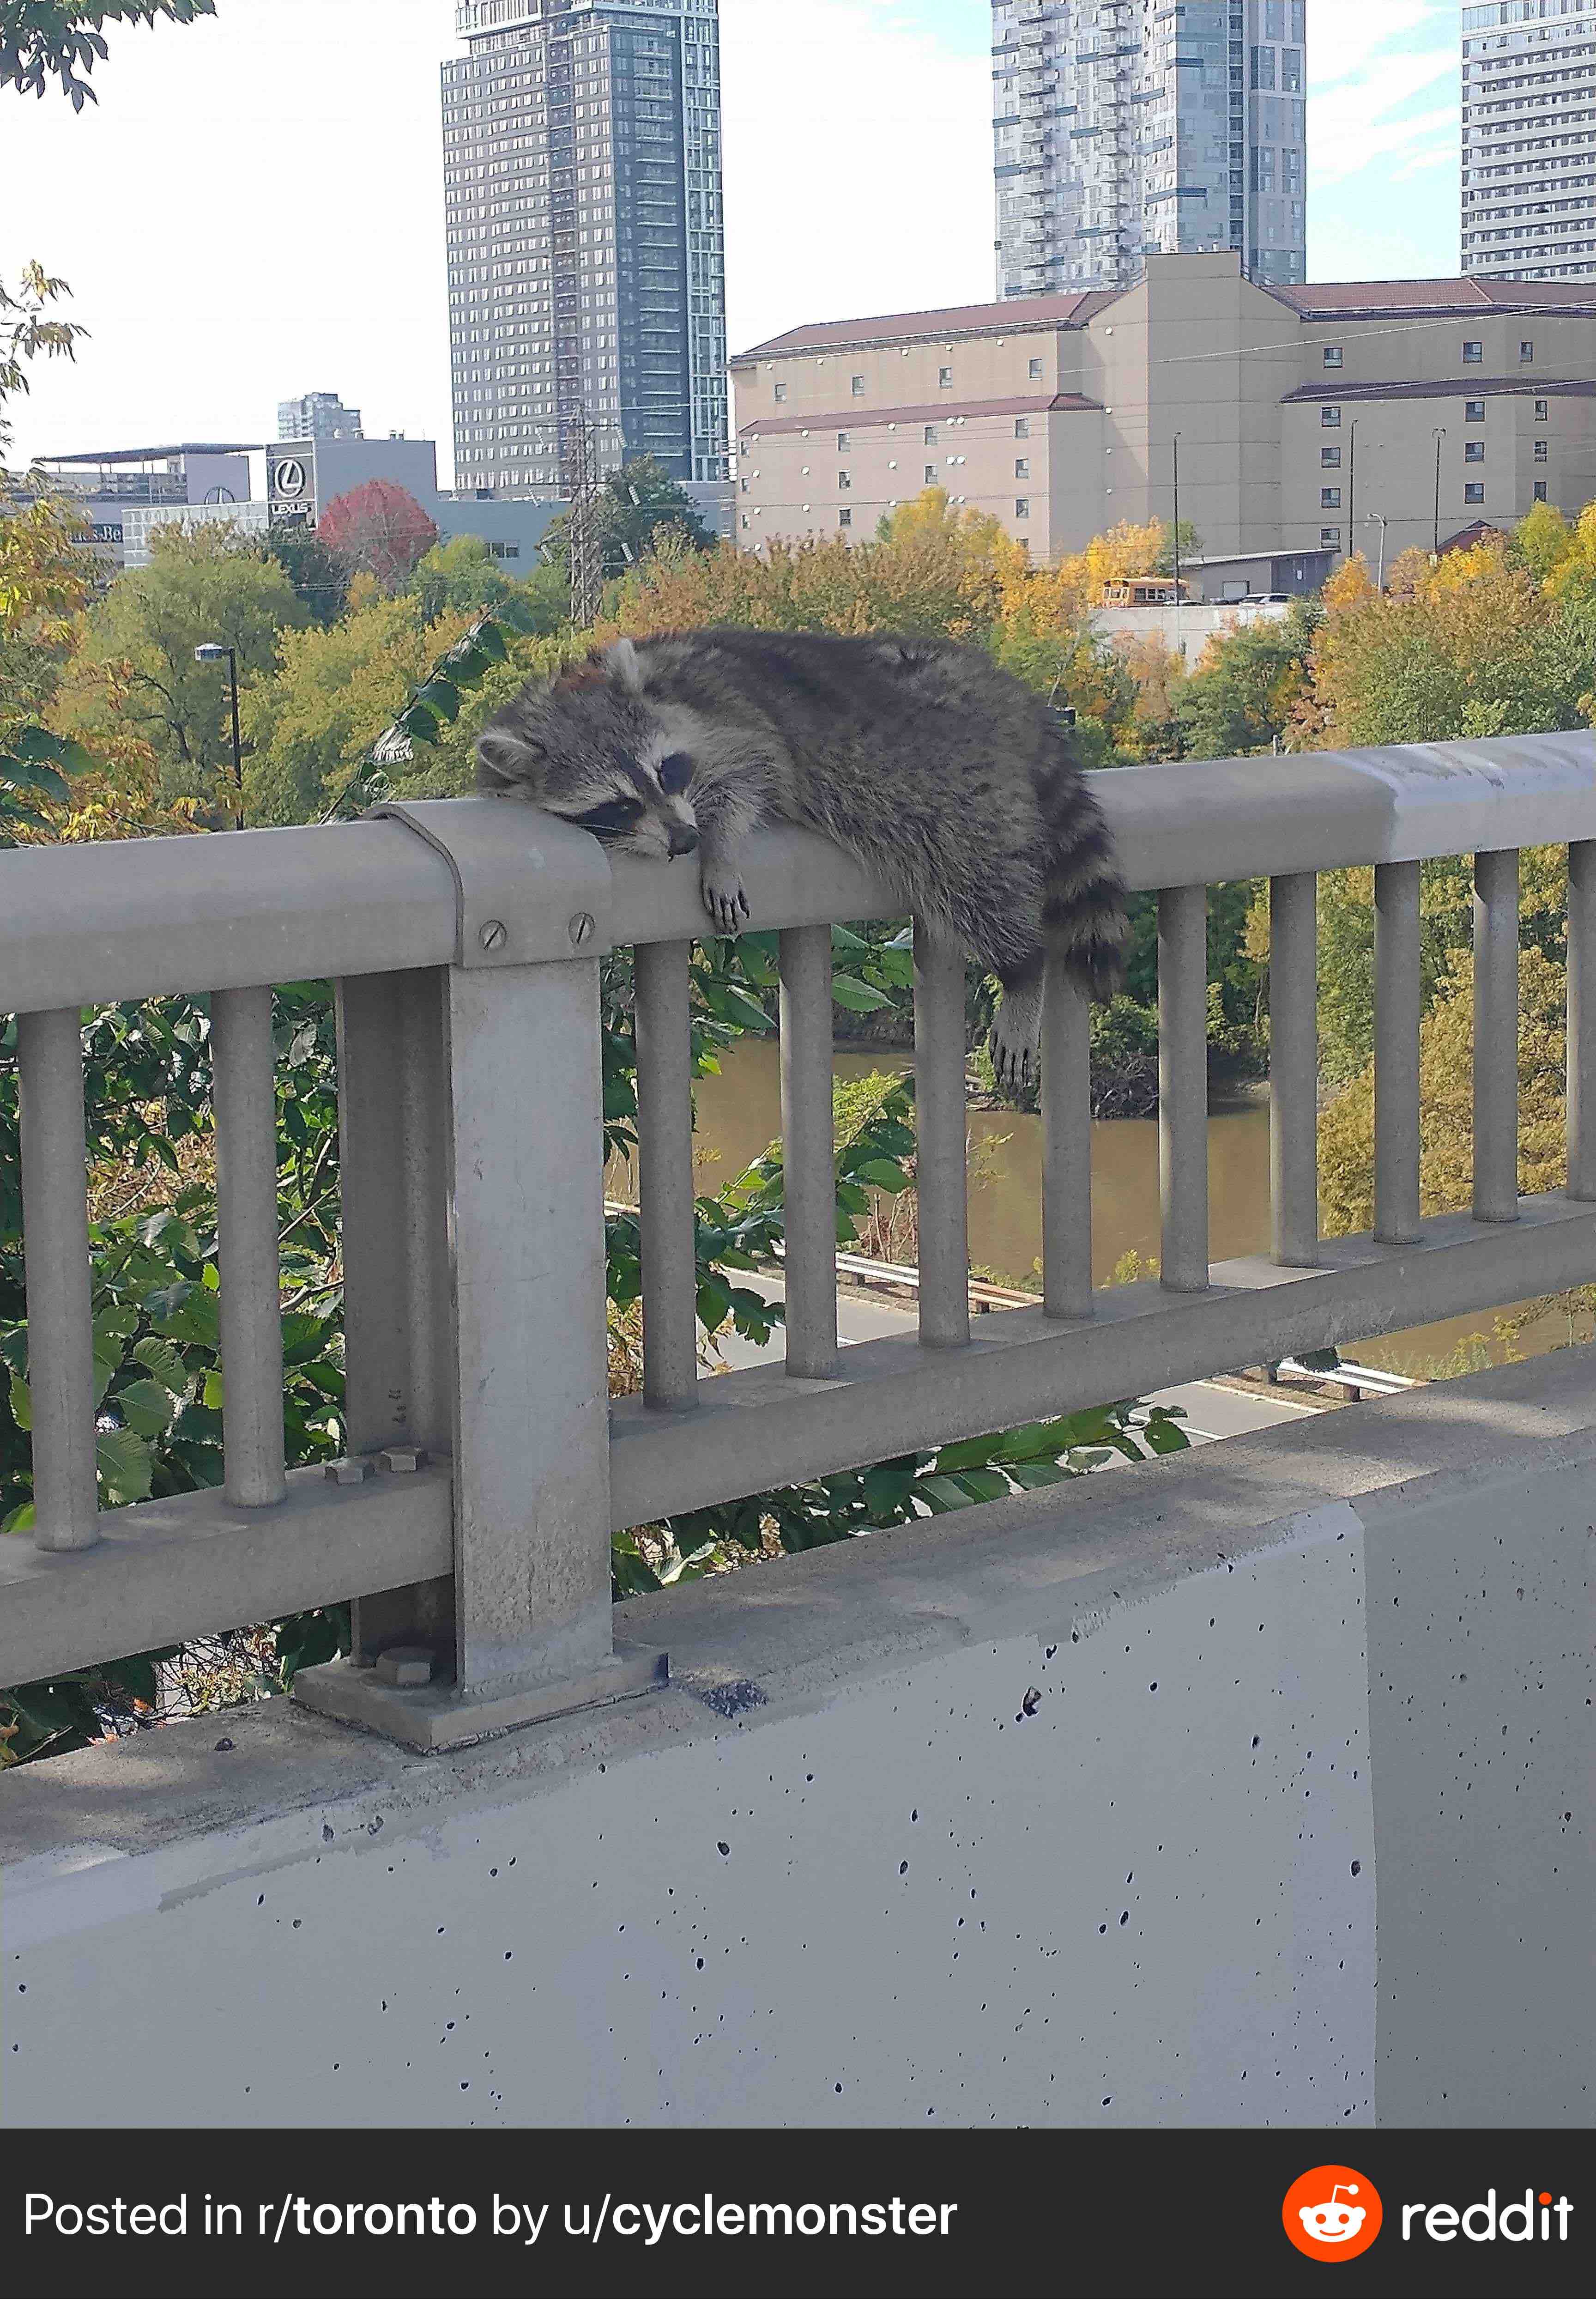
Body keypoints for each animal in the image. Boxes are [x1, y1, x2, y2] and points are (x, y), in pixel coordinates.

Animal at [480, 630, 1131, 1085]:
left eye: (666, 771)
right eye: (618, 805)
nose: (684, 841)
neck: (569, 693)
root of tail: (1004, 692)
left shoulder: (731, 723)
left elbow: (754, 770)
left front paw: (719, 844)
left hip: (948, 777)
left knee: (972, 872)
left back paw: (1022, 971)